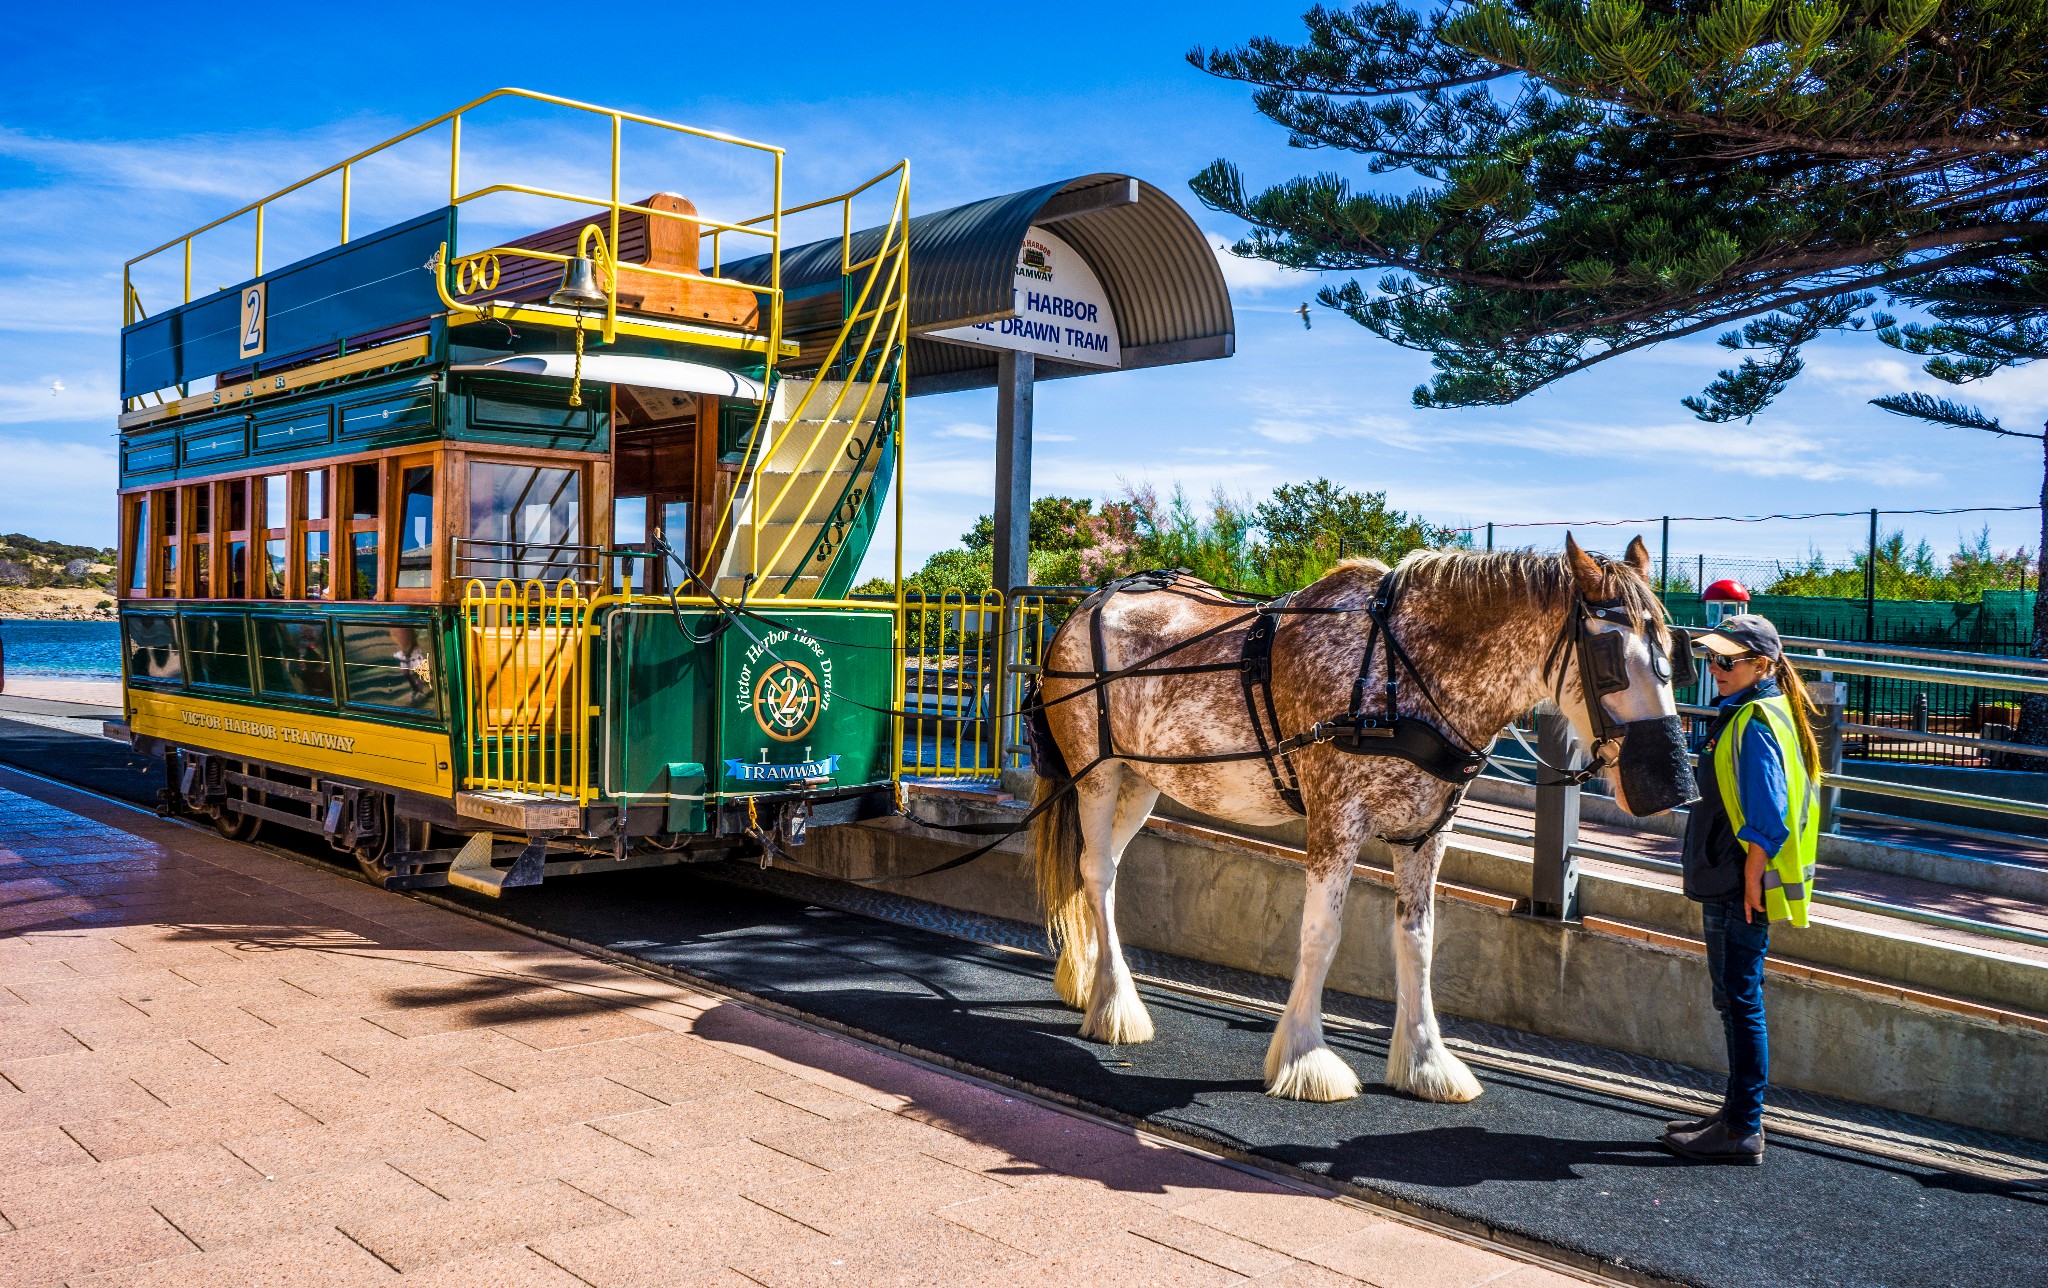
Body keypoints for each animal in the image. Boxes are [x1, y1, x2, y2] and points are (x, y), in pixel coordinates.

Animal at [1032, 536, 1687, 1097]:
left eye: (1670, 650)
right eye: (1607, 654)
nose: (1672, 780)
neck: (1401, 673)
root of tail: (1087, 604)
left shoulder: (1425, 833)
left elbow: (1418, 941)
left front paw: (1426, 1062)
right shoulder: (1334, 820)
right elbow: (1321, 934)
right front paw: (1304, 1057)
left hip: (1142, 778)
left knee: (1100, 868)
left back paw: (1089, 981)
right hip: (1095, 773)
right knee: (1097, 871)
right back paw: (1115, 1006)